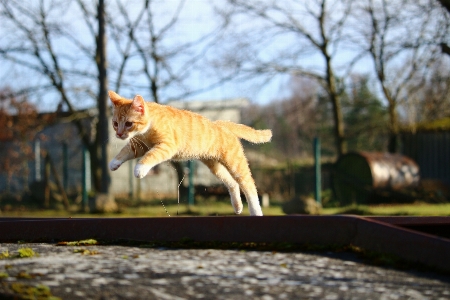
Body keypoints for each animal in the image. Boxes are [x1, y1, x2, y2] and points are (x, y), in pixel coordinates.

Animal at [107, 91, 272, 216]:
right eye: (115, 124)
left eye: (129, 124)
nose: (119, 134)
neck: (147, 130)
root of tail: (221, 124)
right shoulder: (140, 146)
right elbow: (124, 151)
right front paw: (114, 163)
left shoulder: (167, 146)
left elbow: (150, 156)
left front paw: (140, 169)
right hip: (215, 166)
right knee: (232, 183)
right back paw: (237, 207)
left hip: (235, 163)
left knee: (249, 186)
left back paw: (256, 211)